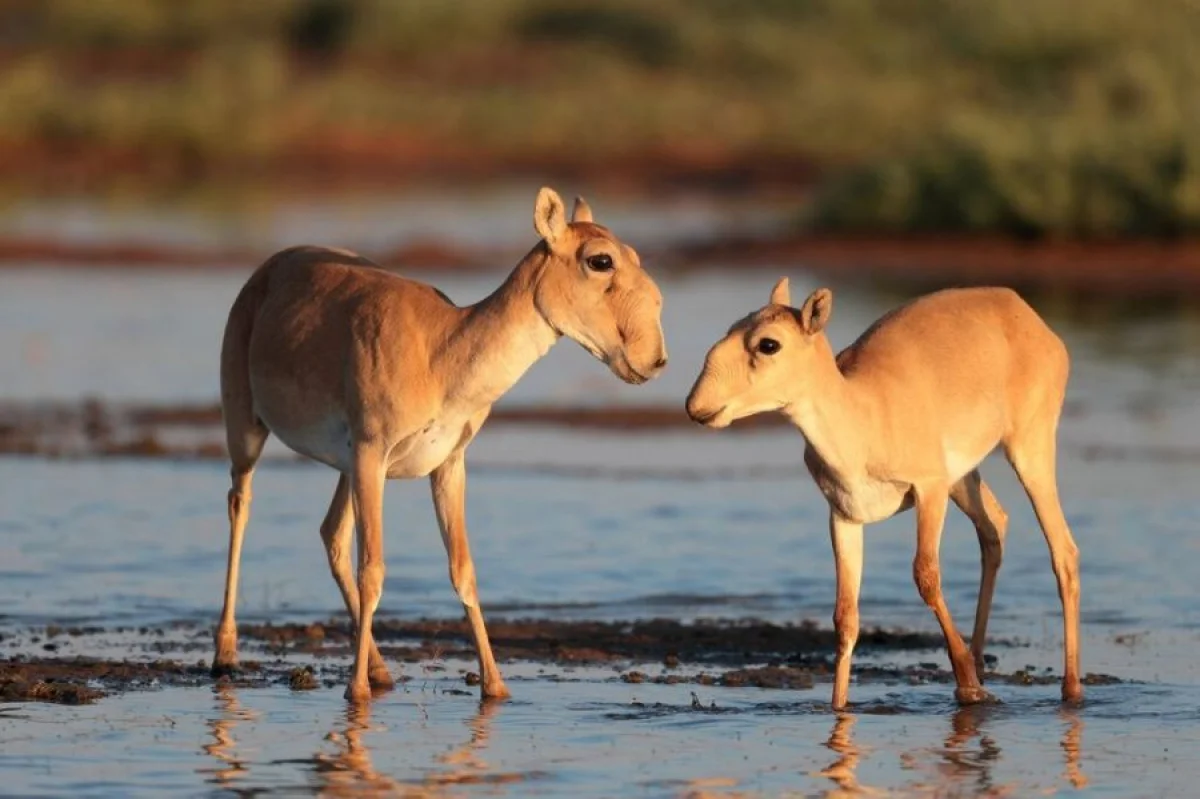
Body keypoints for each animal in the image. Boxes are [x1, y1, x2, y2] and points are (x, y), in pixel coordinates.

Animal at [213, 187, 667, 695]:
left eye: (635, 254)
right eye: (600, 260)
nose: (654, 358)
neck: (442, 350)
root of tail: (270, 267)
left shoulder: (448, 464)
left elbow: (462, 570)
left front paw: (496, 687)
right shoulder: (372, 453)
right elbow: (373, 571)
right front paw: (356, 692)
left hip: (346, 467)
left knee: (332, 534)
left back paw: (381, 668)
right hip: (250, 429)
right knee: (240, 503)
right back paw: (226, 653)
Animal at [686, 277, 1089, 705]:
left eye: (768, 344)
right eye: (734, 326)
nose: (695, 406)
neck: (863, 415)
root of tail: (1021, 310)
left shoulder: (929, 491)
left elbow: (926, 576)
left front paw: (965, 682)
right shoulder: (844, 516)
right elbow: (845, 617)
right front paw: (838, 707)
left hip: (1028, 449)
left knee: (1063, 551)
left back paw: (1068, 687)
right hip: (963, 478)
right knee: (994, 525)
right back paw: (981, 663)